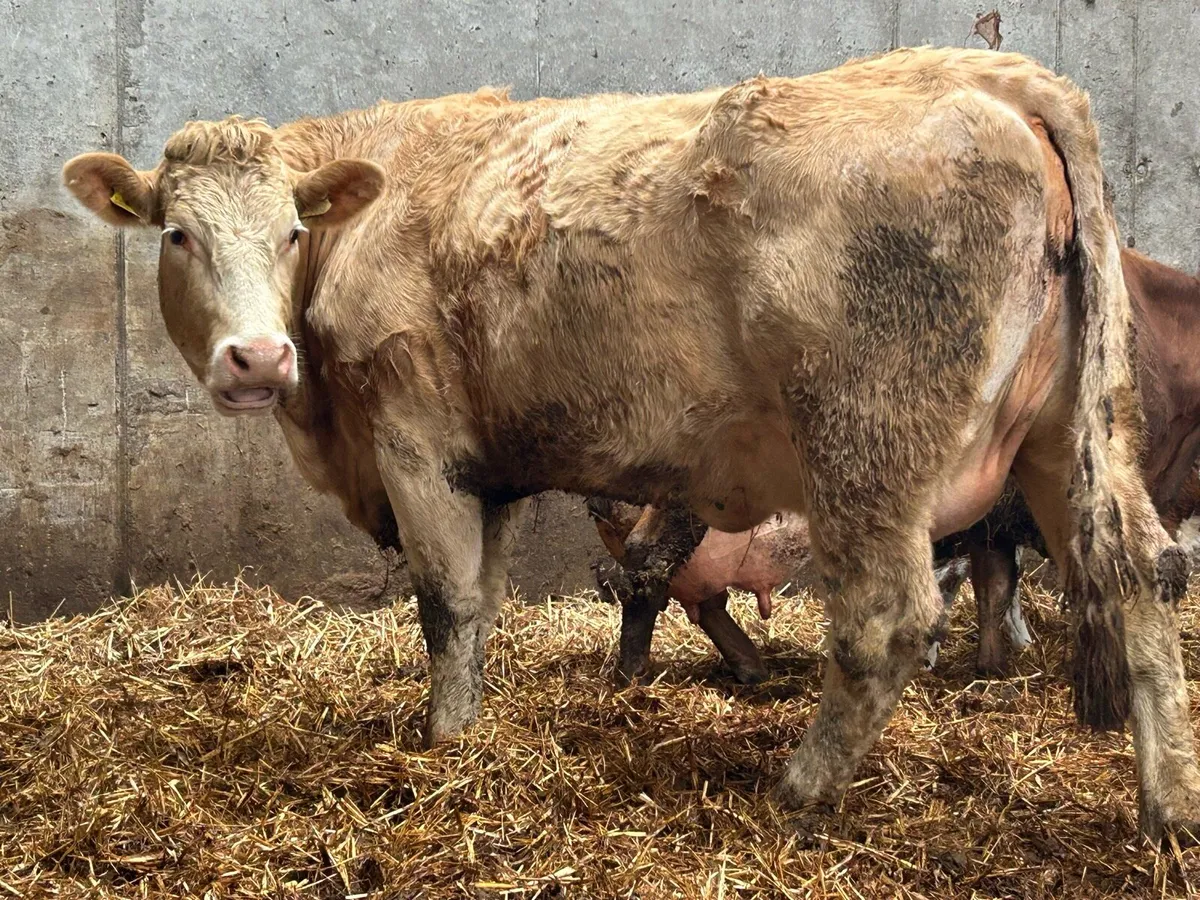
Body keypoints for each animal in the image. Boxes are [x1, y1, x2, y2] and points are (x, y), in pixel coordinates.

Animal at [62, 47, 1196, 838]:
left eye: (291, 232)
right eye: (178, 234)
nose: (257, 359)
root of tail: (991, 73)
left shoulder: (414, 437)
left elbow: (446, 602)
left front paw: (440, 747)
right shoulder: (490, 467)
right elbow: (483, 604)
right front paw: (469, 727)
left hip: (868, 446)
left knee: (887, 620)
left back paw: (797, 790)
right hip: (1070, 428)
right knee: (1140, 573)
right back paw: (1167, 810)